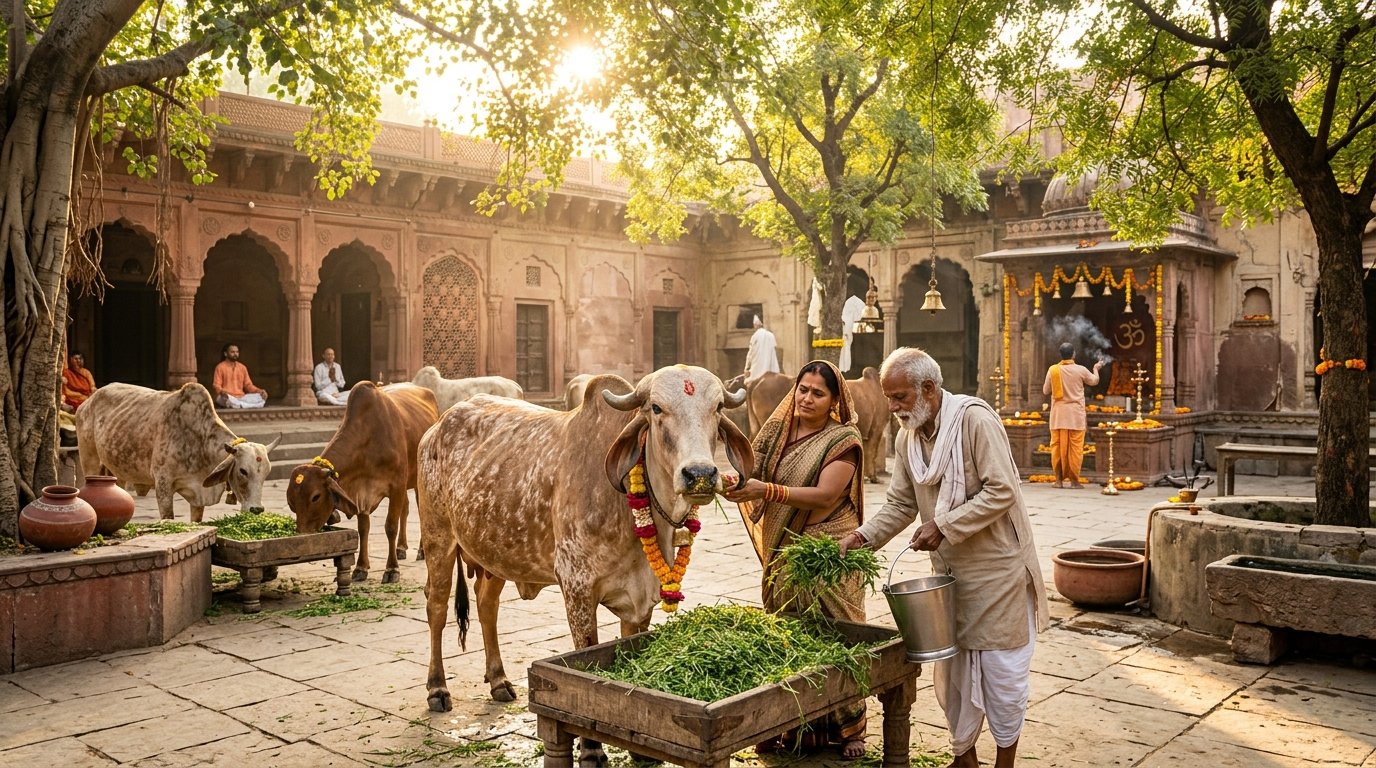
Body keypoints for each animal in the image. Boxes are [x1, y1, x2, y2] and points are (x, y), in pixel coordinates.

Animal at [75, 383, 279, 521]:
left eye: (267, 473)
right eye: (243, 471)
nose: (256, 509)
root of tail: (88, 401)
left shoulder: (198, 497)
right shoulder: (163, 485)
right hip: (89, 460)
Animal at [287, 382, 438, 583]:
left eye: (315, 497)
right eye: (292, 502)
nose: (302, 533)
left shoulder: (396, 486)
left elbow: (391, 526)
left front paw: (392, 569)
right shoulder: (362, 493)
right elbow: (363, 529)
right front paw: (360, 568)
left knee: (422, 513)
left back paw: (421, 551)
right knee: (405, 509)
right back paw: (401, 548)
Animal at [417, 366, 751, 764]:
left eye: (718, 407)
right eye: (655, 408)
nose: (699, 474)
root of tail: (438, 426)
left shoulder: (642, 601)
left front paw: (642, 752)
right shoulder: (576, 586)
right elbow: (585, 662)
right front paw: (591, 750)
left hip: (495, 551)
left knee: (487, 605)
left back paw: (498, 680)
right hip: (438, 539)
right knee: (436, 608)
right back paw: (437, 689)